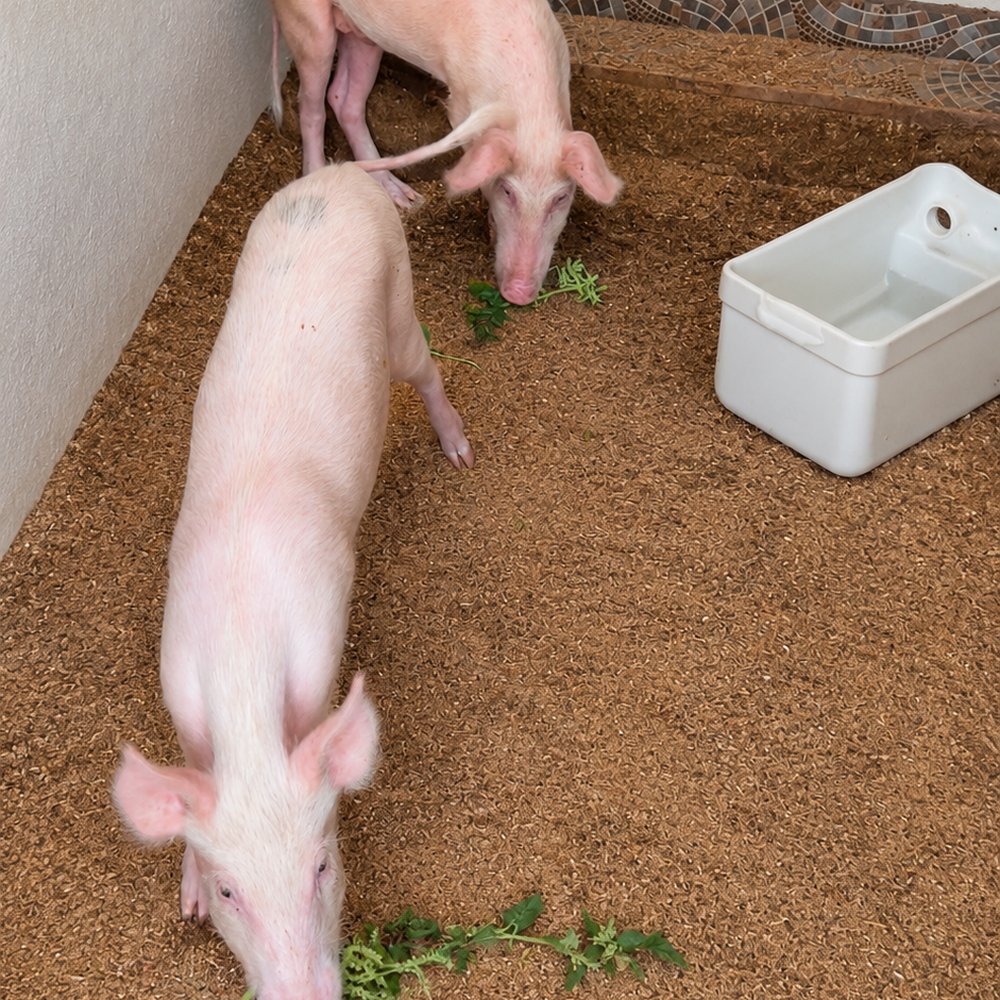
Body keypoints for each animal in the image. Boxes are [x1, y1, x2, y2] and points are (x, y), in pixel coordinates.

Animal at [112, 162, 473, 1000]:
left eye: (322, 867)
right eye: (228, 892)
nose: (303, 994)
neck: (244, 654)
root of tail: (342, 173)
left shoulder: (320, 648)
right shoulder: (179, 676)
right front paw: (184, 904)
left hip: (401, 299)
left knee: (427, 369)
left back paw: (460, 453)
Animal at [269, 0, 622, 304]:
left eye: (561, 197)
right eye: (507, 191)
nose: (518, 293)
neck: (531, 115)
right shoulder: (461, 103)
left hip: (364, 35)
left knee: (344, 98)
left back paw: (407, 199)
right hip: (308, 23)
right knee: (311, 105)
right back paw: (316, 173)